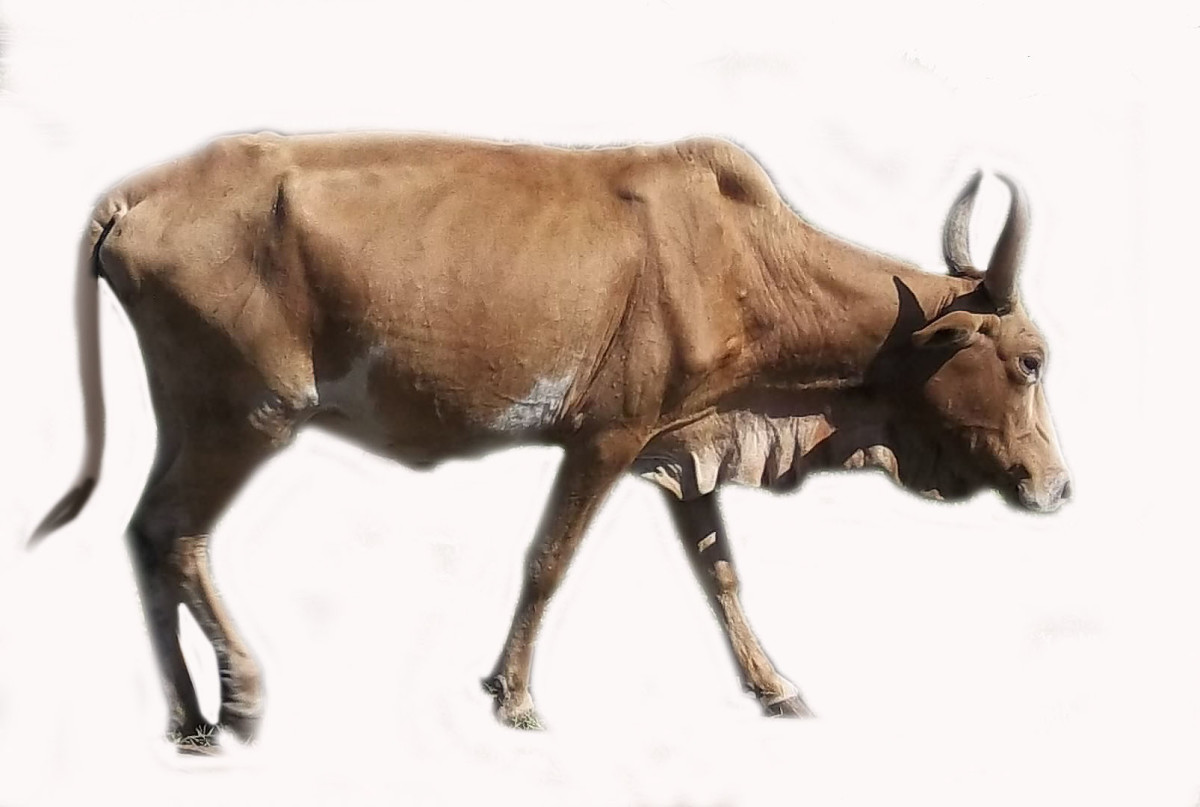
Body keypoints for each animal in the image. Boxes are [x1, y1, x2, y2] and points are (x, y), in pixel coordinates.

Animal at [33, 133, 1070, 749]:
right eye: (1030, 360)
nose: (1056, 486)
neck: (741, 260)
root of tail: (140, 192)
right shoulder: (608, 435)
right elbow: (548, 561)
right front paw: (515, 695)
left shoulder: (683, 445)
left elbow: (721, 573)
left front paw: (776, 687)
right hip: (249, 413)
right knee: (175, 534)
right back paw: (237, 696)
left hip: (201, 418)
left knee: (147, 535)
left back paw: (188, 717)